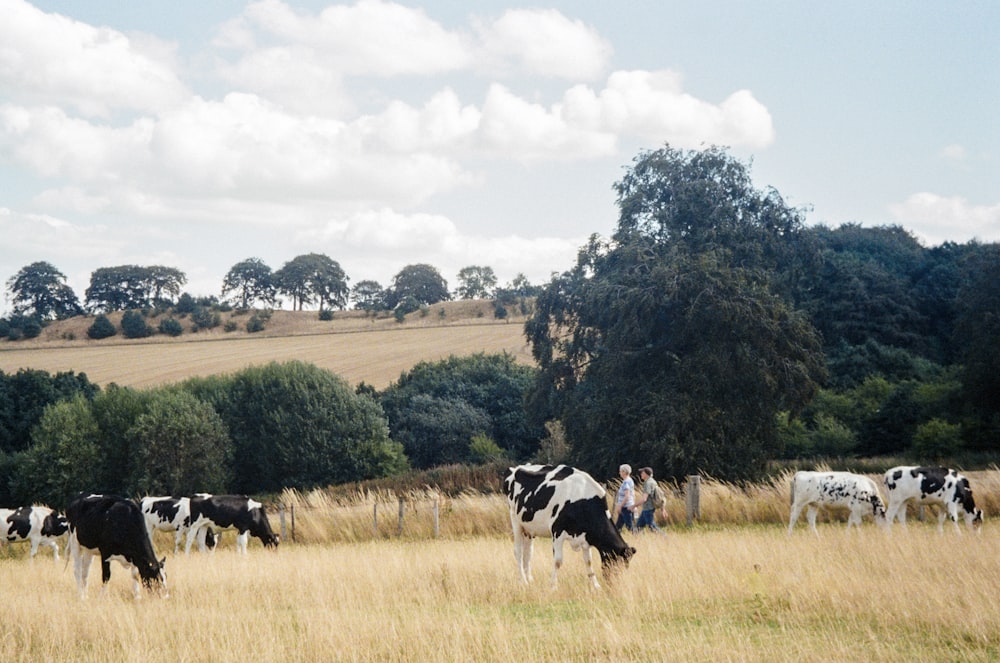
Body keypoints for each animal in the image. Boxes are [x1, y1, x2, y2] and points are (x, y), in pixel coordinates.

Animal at [504, 464, 636, 588]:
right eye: (616, 563)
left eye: (626, 566)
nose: (615, 585)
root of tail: (515, 468)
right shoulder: (557, 531)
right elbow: (558, 561)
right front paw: (553, 585)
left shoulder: (585, 537)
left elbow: (588, 562)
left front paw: (595, 585)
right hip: (515, 521)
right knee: (518, 552)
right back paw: (523, 581)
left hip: (529, 529)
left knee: (528, 553)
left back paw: (529, 579)